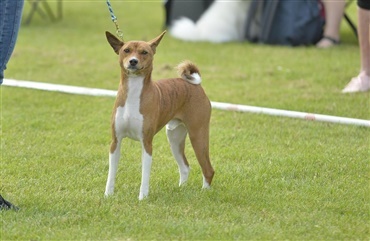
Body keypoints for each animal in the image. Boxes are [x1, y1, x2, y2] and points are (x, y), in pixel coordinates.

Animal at [104, 30, 214, 200]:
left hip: (198, 136)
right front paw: (108, 196)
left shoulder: (146, 143)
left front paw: (142, 198)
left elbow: (145, 175)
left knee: (208, 169)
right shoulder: (116, 141)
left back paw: (204, 193)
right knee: (185, 166)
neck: (133, 94)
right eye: (126, 50)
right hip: (174, 138)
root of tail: (196, 85)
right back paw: (181, 189)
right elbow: (111, 173)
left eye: (144, 52)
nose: (133, 61)